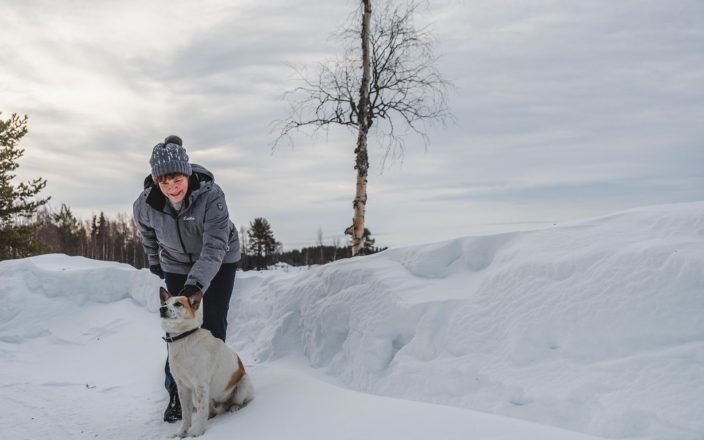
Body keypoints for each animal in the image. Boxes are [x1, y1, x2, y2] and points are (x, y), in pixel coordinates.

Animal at [159, 286, 253, 436]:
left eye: (178, 304)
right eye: (165, 303)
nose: (162, 309)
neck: (184, 338)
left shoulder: (201, 385)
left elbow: (201, 412)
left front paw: (197, 432)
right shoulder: (182, 386)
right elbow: (186, 414)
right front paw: (182, 432)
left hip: (243, 383)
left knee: (237, 402)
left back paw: (234, 407)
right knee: (209, 411)